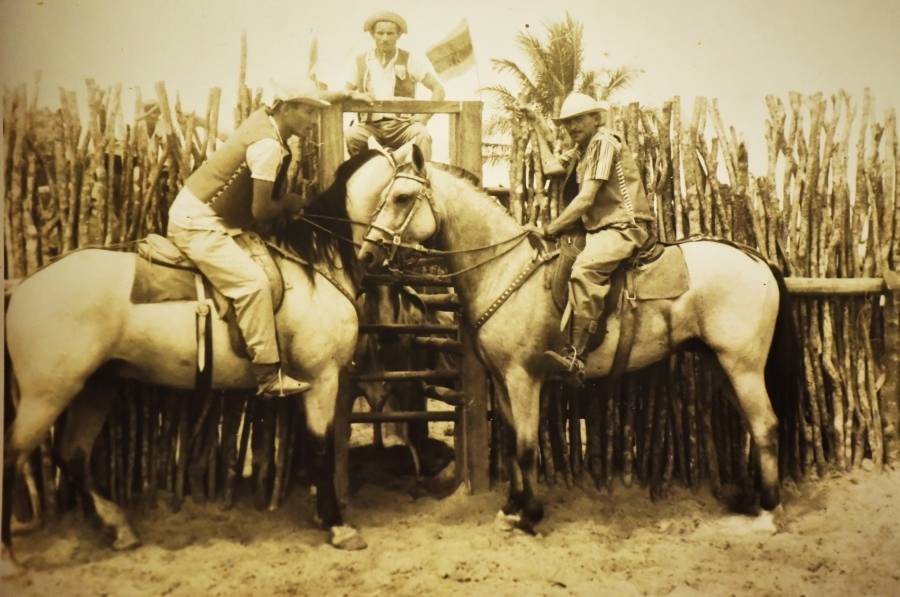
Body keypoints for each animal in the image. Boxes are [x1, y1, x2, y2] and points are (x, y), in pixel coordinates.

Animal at [1, 146, 419, 569]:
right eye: (404, 196)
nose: (373, 254)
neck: (314, 269)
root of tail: (24, 285)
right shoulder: (323, 379)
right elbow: (321, 447)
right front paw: (337, 525)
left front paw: (322, 514)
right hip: (48, 394)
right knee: (12, 456)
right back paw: (10, 558)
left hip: (96, 387)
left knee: (72, 454)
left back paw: (119, 528)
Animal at [354, 144, 801, 535]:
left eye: (402, 197)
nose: (367, 256)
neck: (506, 270)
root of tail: (758, 260)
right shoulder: (502, 380)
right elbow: (513, 442)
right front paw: (511, 508)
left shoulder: (523, 379)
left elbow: (527, 446)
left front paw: (530, 515)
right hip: (722, 365)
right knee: (755, 427)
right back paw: (754, 499)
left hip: (743, 367)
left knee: (766, 426)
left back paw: (768, 511)